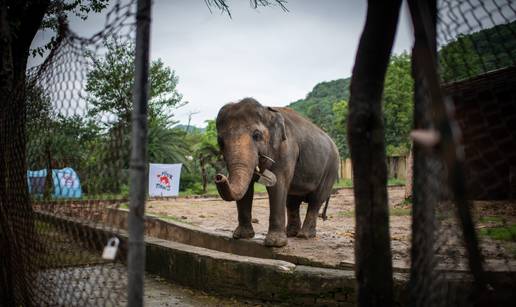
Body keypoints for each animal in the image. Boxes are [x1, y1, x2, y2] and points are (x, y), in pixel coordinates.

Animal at [215, 98, 340, 248]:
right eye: (220, 142)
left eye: (257, 136)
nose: (219, 177)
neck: (268, 110)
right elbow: (247, 189)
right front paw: (241, 236)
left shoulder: (286, 149)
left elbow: (278, 185)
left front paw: (275, 244)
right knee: (292, 201)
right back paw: (291, 233)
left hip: (331, 169)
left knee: (316, 200)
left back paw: (304, 236)